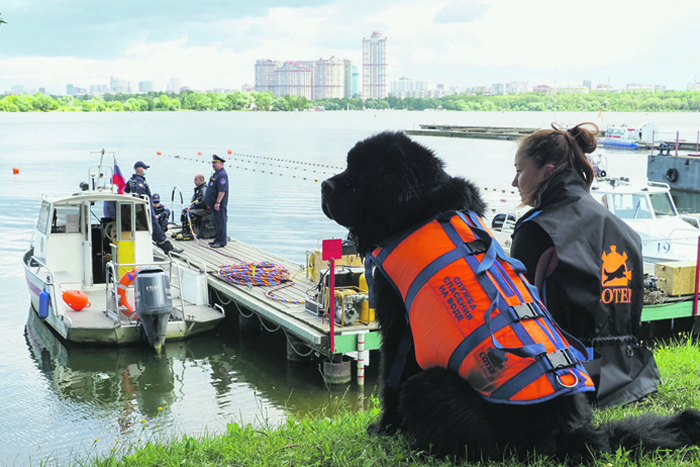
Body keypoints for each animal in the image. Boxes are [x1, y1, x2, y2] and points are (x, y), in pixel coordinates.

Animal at [322, 131, 700, 464]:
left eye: (356, 177)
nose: (324, 185)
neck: (421, 211)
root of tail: (573, 435)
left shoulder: (399, 325)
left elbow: (390, 378)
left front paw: (385, 428)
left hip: (428, 388)